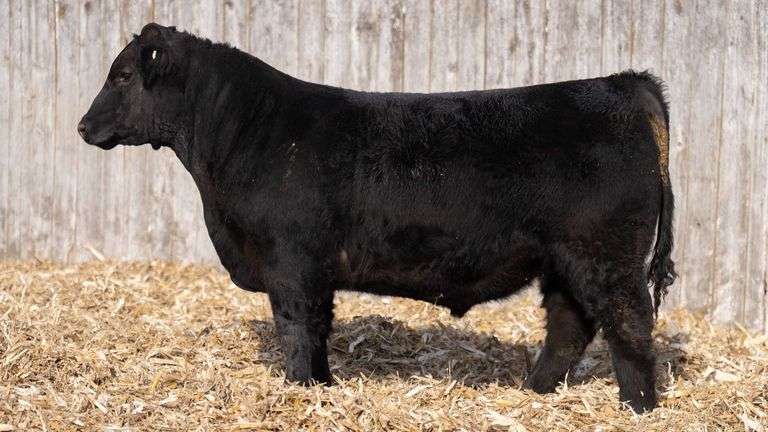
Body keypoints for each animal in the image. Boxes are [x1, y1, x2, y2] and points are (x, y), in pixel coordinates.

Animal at [78, 23, 676, 413]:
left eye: (123, 75)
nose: (83, 126)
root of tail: (621, 82)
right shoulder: (314, 270)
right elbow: (318, 329)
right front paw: (321, 388)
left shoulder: (290, 263)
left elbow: (296, 328)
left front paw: (300, 390)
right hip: (565, 261)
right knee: (570, 326)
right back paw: (535, 393)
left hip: (605, 256)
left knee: (629, 324)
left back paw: (637, 407)